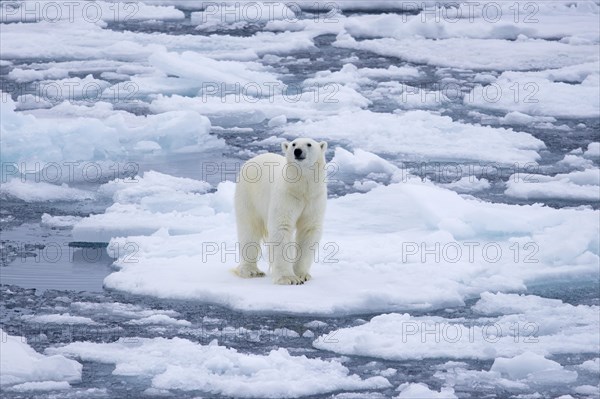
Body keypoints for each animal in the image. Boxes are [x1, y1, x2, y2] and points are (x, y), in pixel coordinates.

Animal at [234, 139, 328, 286]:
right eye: (294, 144)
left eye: (309, 144)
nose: (297, 151)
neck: (302, 187)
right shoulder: (286, 195)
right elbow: (282, 226)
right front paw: (288, 278)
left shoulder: (315, 197)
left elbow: (309, 229)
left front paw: (302, 275)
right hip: (248, 195)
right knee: (249, 229)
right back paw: (251, 271)